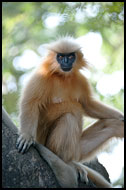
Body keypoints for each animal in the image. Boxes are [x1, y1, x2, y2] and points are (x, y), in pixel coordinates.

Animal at [15, 36, 123, 188]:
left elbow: (87, 105)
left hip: (78, 149)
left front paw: (121, 116)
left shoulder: (81, 80)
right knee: (70, 116)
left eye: (70, 56)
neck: (63, 77)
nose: (66, 62)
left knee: (113, 125)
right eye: (60, 57)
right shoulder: (41, 76)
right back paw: (67, 163)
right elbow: (30, 103)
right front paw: (26, 136)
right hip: (47, 143)